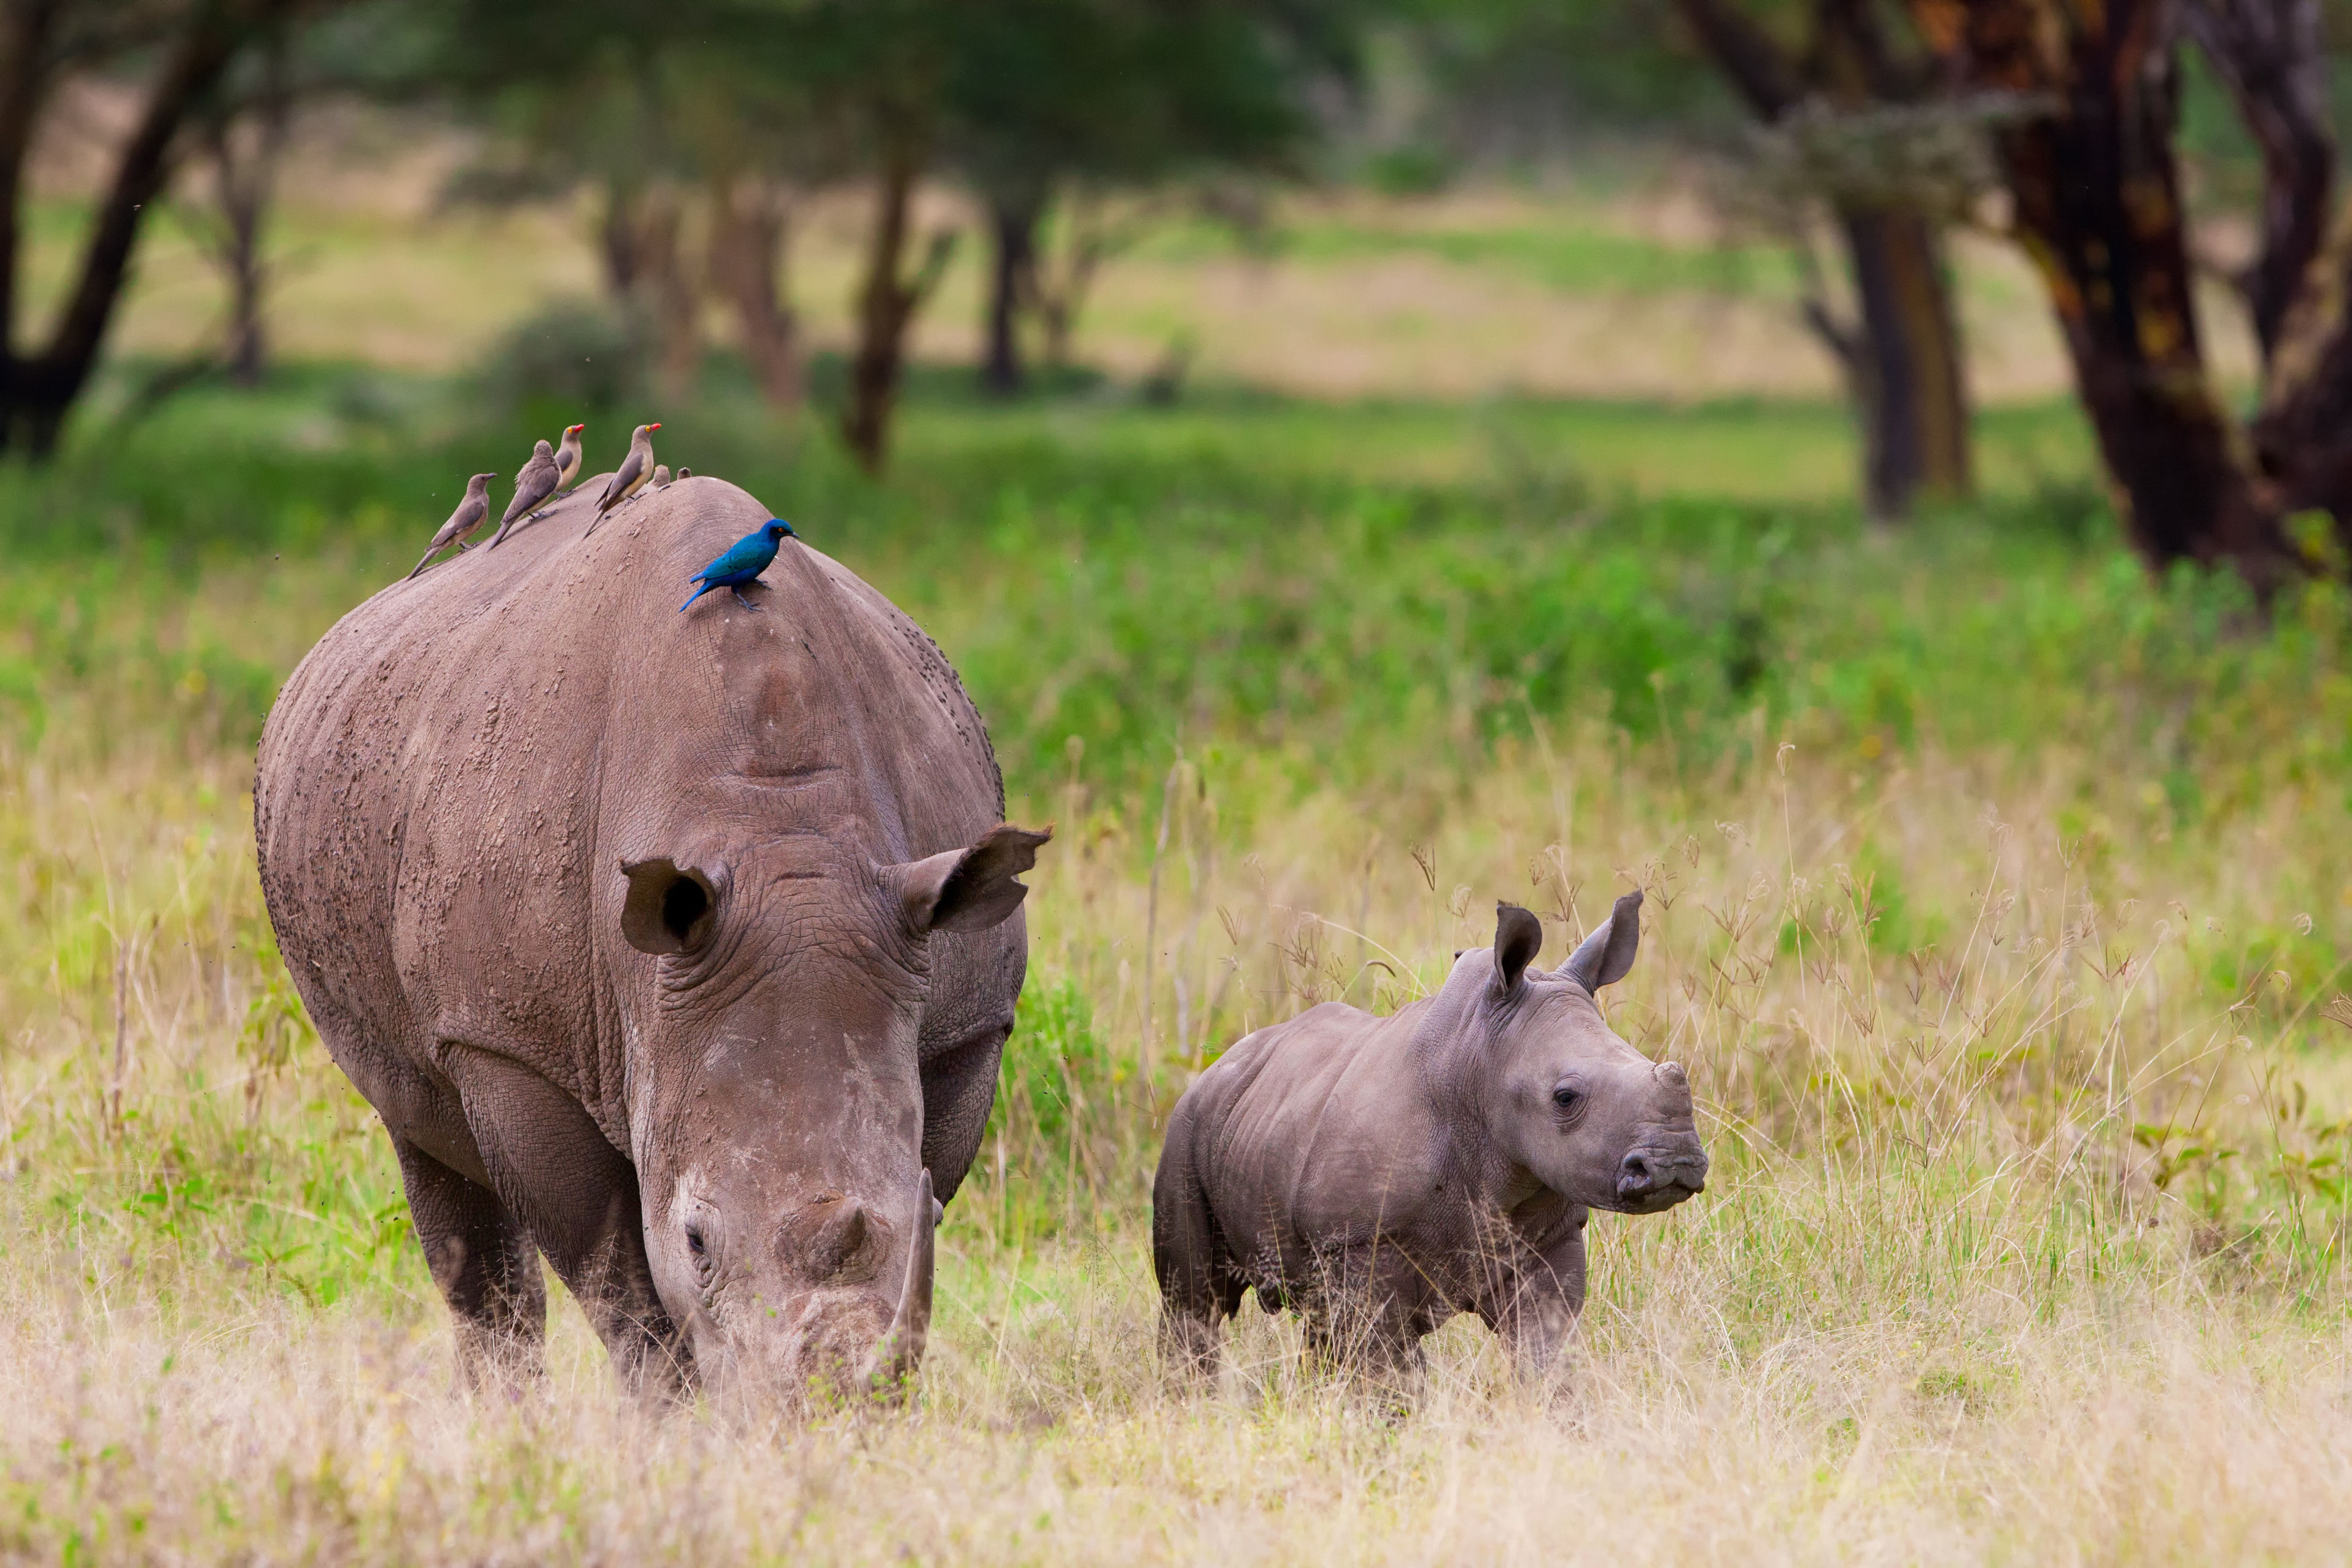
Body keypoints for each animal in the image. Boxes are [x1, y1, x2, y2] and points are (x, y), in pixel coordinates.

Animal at [254, 473, 1047, 1402]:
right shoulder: (510, 1043)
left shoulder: (963, 1020)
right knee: (429, 1153)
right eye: (697, 1240)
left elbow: (917, 1204)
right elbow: (618, 1279)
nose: (825, 1408)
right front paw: (678, 1418)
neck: (784, 846)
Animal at [1153, 891, 1705, 1381]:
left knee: (1315, 1324)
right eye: (1565, 1097)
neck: (1475, 1065)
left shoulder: (1550, 1235)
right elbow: (1387, 1369)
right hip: (1187, 1127)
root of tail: (1217, 1065)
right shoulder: (1357, 1240)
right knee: (1194, 1301)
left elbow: (1545, 1353)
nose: (1675, 1163)